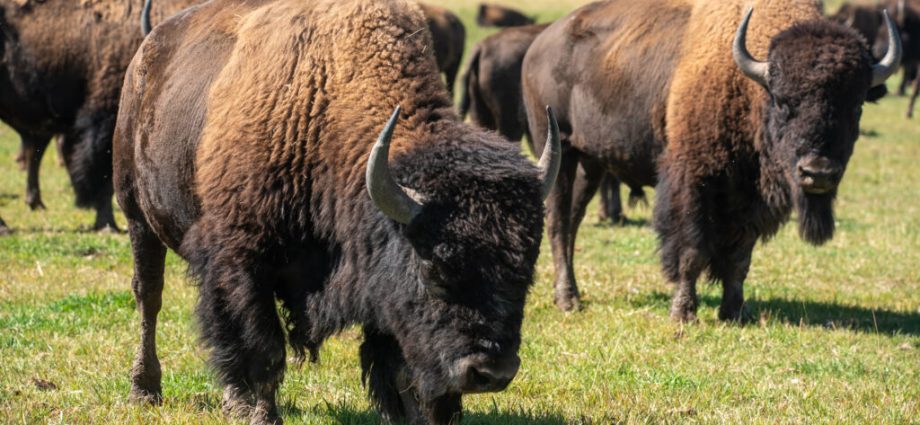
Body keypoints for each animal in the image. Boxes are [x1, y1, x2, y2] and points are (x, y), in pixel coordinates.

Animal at [113, 0, 560, 424]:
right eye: (434, 269)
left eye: (526, 271)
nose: (491, 373)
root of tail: (148, 51)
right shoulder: (243, 263)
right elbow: (263, 348)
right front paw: (264, 416)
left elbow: (399, 366)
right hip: (137, 216)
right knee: (151, 298)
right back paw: (147, 390)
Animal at [523, 0, 900, 319]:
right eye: (782, 102)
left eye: (856, 106)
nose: (817, 172)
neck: (747, 86)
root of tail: (540, 45)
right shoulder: (693, 181)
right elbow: (692, 251)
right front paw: (683, 312)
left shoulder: (750, 200)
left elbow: (740, 258)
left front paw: (734, 312)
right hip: (557, 149)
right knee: (558, 222)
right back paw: (568, 300)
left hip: (591, 163)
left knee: (573, 221)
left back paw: (572, 294)